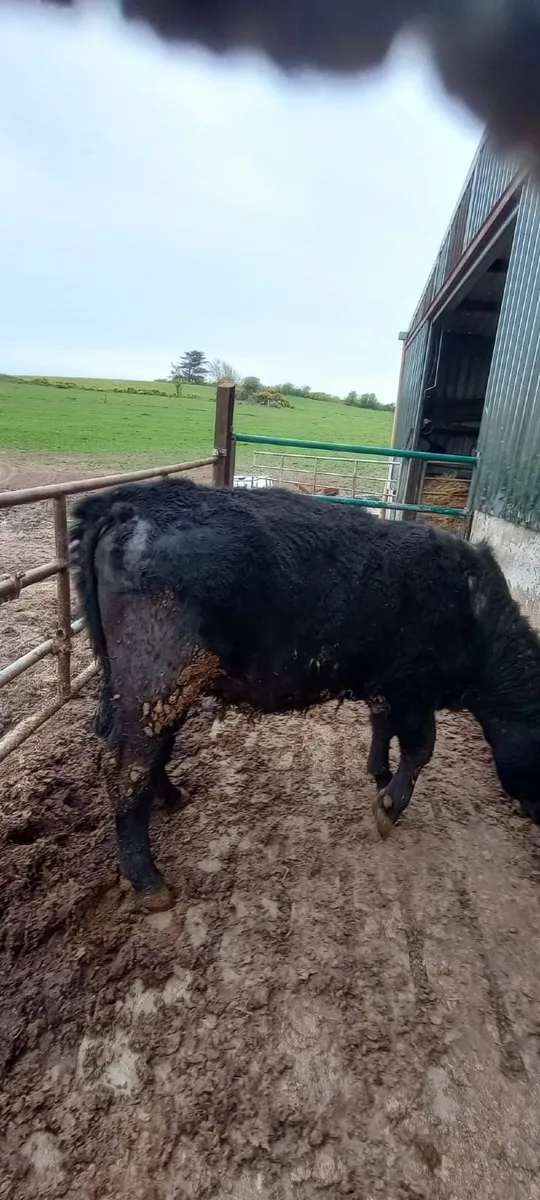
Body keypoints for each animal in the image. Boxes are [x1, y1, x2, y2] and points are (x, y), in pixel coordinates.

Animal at [72, 476, 540, 910]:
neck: (477, 616)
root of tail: (126, 501)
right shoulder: (414, 688)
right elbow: (421, 749)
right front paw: (389, 808)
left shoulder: (386, 687)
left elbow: (381, 727)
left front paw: (379, 775)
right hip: (158, 678)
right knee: (126, 763)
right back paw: (149, 883)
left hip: (143, 685)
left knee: (148, 749)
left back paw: (172, 798)